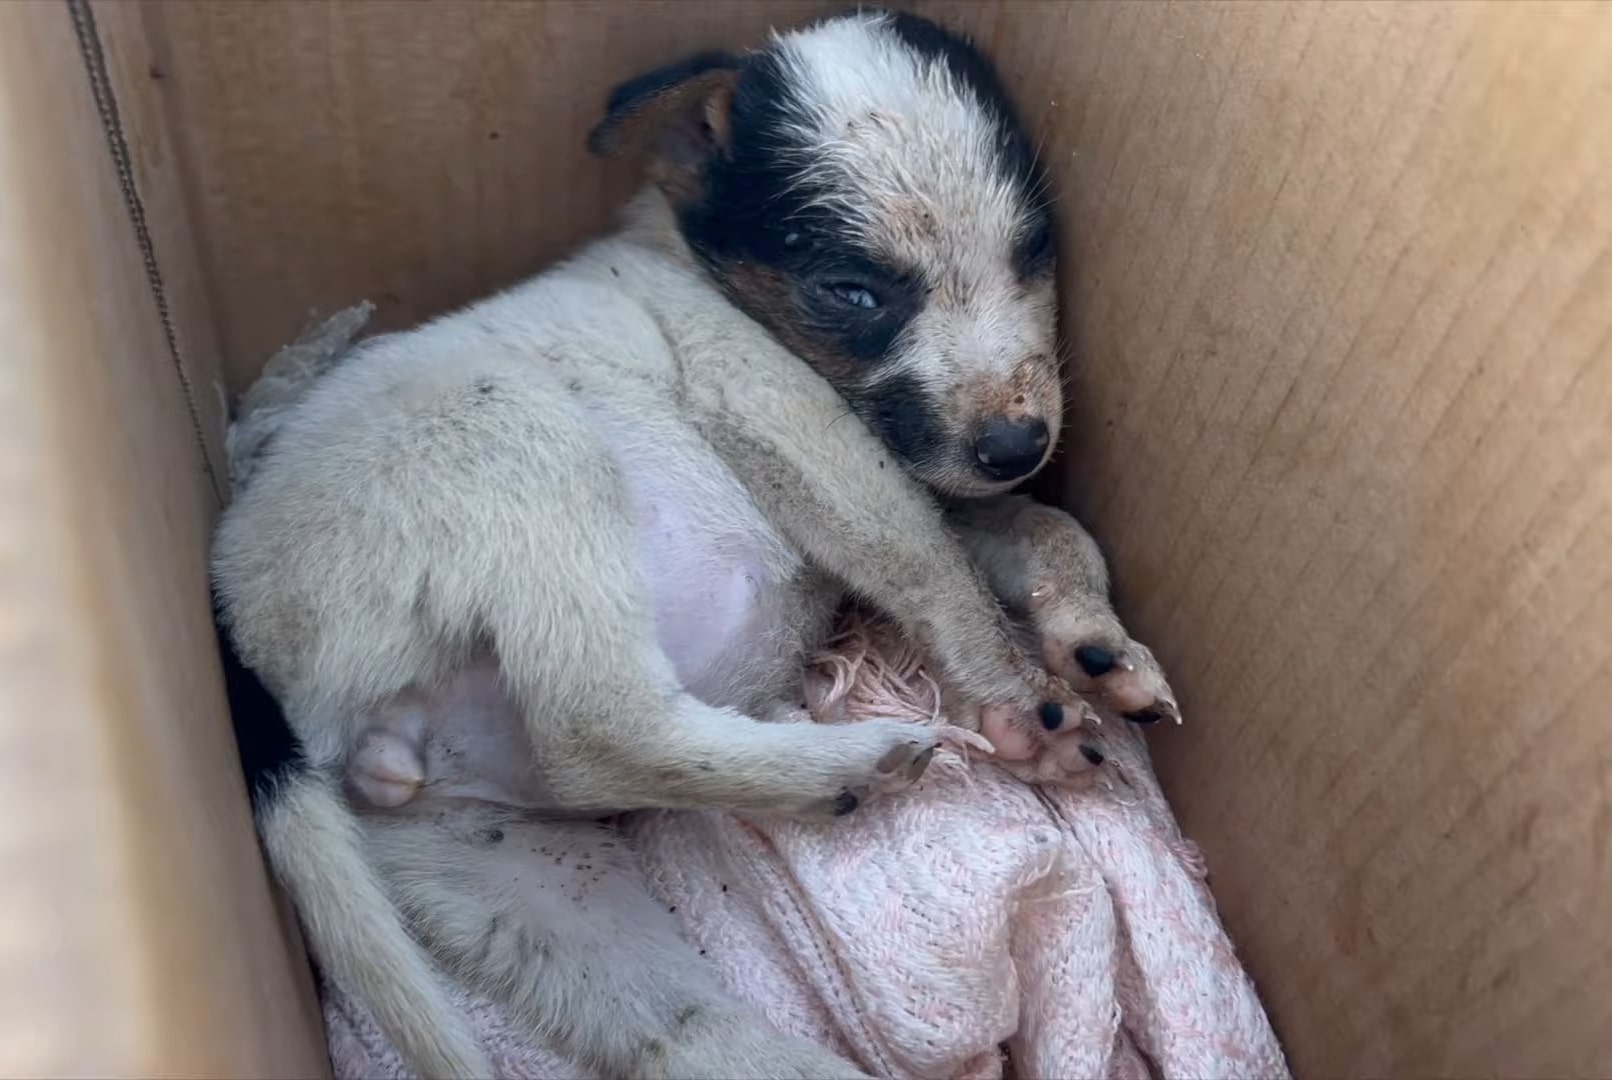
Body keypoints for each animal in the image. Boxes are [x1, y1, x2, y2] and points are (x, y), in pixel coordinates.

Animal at [211, 10, 1173, 1080]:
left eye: (1032, 251)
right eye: (852, 291)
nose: (1019, 447)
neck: (682, 259)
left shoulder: (937, 477)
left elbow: (1048, 527)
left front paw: (1095, 641)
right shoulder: (790, 421)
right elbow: (932, 563)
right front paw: (1020, 701)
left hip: (508, 876)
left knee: (678, 1031)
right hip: (521, 445)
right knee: (596, 729)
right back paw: (849, 765)